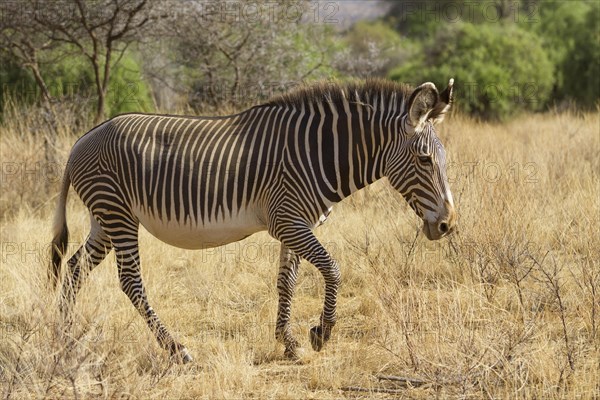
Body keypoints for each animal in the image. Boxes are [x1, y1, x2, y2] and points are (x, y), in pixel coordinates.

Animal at [50, 77, 454, 362]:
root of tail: (80, 141)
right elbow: (333, 268)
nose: (448, 225)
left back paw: (65, 341)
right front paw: (321, 332)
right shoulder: (288, 221)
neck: (318, 154)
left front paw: (288, 343)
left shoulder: (296, 224)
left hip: (105, 219)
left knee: (73, 269)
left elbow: (286, 282)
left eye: (443, 159)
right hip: (117, 213)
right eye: (424, 160)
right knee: (130, 281)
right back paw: (176, 348)